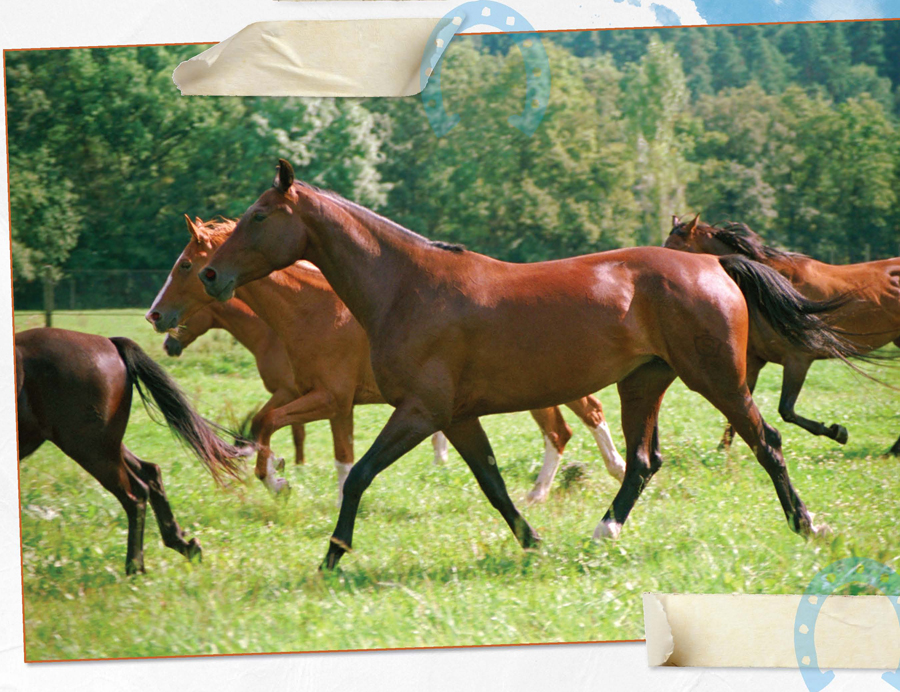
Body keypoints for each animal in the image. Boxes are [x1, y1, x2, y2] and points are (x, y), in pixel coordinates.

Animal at [14, 328, 246, 576]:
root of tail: (109, 343)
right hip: (105, 444)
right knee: (150, 472)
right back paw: (184, 545)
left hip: (90, 446)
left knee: (135, 495)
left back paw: (135, 567)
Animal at [165, 296, 310, 464]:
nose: (167, 345)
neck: (269, 339)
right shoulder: (294, 396)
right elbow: (298, 434)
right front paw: (299, 465)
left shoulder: (286, 392)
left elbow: (260, 421)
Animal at [199, 159, 864, 572]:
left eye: (259, 216)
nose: (210, 275)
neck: (407, 287)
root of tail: (713, 265)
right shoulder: (455, 417)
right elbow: (493, 484)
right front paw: (534, 543)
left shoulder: (419, 412)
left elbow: (359, 474)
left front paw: (332, 556)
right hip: (642, 384)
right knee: (644, 461)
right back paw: (603, 532)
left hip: (718, 379)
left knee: (766, 440)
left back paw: (807, 524)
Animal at [660, 216, 900, 454]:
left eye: (675, 248)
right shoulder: (754, 361)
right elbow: (740, 408)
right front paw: (723, 452)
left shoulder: (798, 359)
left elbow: (786, 410)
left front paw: (837, 431)